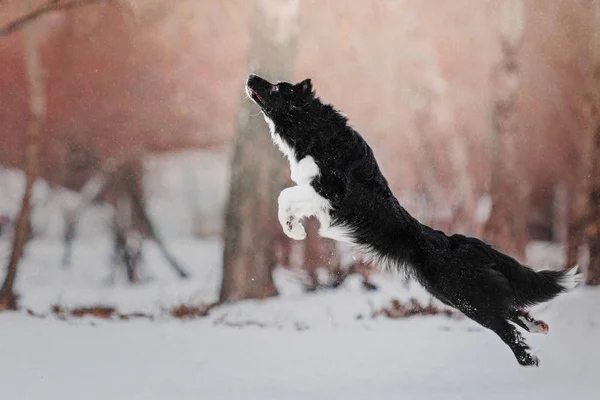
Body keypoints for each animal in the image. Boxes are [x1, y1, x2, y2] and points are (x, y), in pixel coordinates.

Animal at [245, 74, 580, 366]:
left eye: (278, 88)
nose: (250, 77)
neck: (313, 129)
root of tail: (461, 243)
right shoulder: (318, 193)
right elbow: (287, 199)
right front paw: (295, 230)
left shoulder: (330, 191)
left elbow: (285, 195)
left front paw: (295, 232)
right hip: (457, 296)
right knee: (512, 309)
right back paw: (538, 328)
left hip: (466, 298)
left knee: (506, 326)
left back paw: (528, 361)